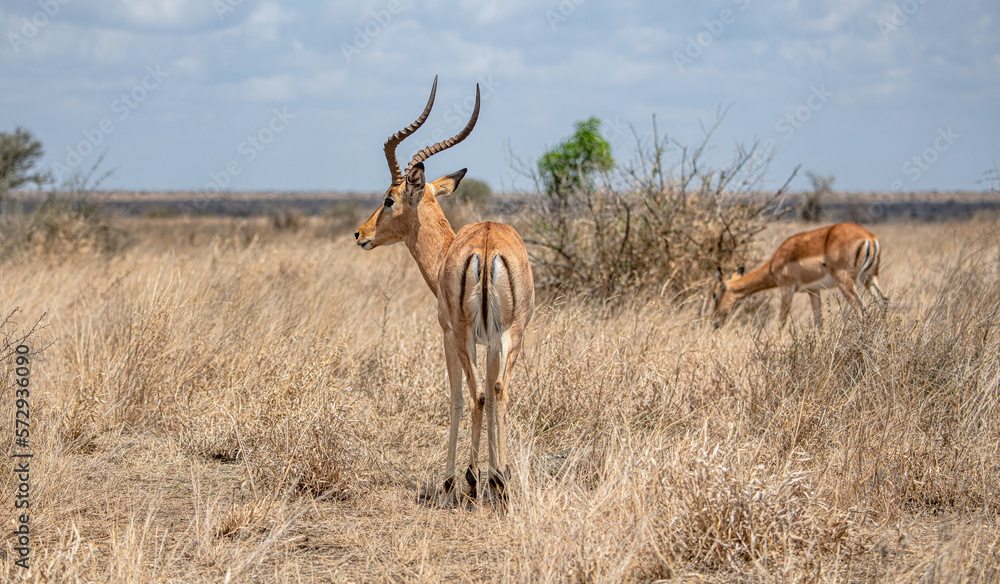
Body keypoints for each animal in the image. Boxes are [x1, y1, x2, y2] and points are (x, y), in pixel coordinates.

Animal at [354, 77, 534, 505]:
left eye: (388, 199)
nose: (360, 234)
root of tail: (486, 243)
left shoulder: (448, 334)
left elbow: (455, 397)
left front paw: (457, 479)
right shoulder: (491, 341)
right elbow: (492, 393)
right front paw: (493, 474)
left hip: (465, 335)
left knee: (476, 394)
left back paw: (467, 480)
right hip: (513, 334)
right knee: (499, 390)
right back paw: (501, 482)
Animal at [712, 222, 888, 328]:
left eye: (715, 295)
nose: (715, 322)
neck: (774, 263)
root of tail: (869, 237)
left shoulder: (786, 288)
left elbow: (781, 322)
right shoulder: (813, 291)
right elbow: (819, 323)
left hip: (846, 283)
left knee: (862, 311)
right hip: (869, 278)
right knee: (883, 301)